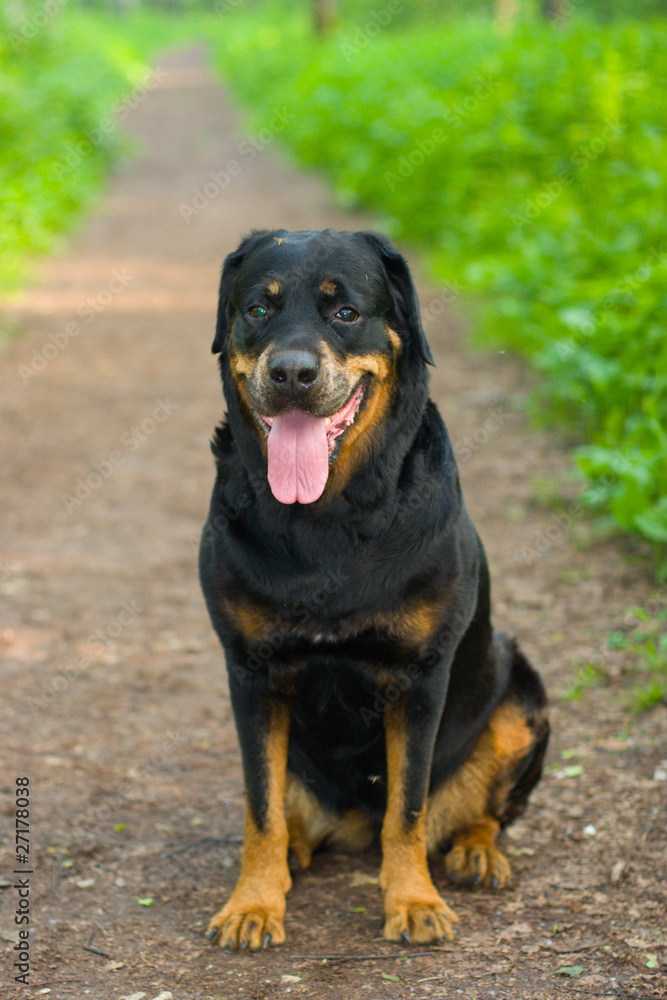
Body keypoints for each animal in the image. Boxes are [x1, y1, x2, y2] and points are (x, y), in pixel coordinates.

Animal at [201, 229, 552, 952]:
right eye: (257, 310)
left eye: (345, 312)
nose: (292, 373)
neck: (325, 519)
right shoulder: (249, 672)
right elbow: (259, 805)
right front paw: (253, 902)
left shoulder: (418, 677)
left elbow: (407, 805)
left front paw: (413, 900)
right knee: (286, 812)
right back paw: (291, 857)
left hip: (519, 688)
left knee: (483, 810)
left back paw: (475, 852)